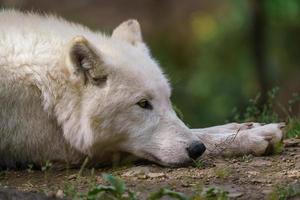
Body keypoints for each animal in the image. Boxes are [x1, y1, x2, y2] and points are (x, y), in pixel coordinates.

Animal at [0, 10, 284, 168]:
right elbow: (203, 136)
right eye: (143, 104)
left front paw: (244, 128)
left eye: (168, 100)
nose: (196, 150)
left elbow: (196, 129)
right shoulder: (67, 151)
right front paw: (250, 137)